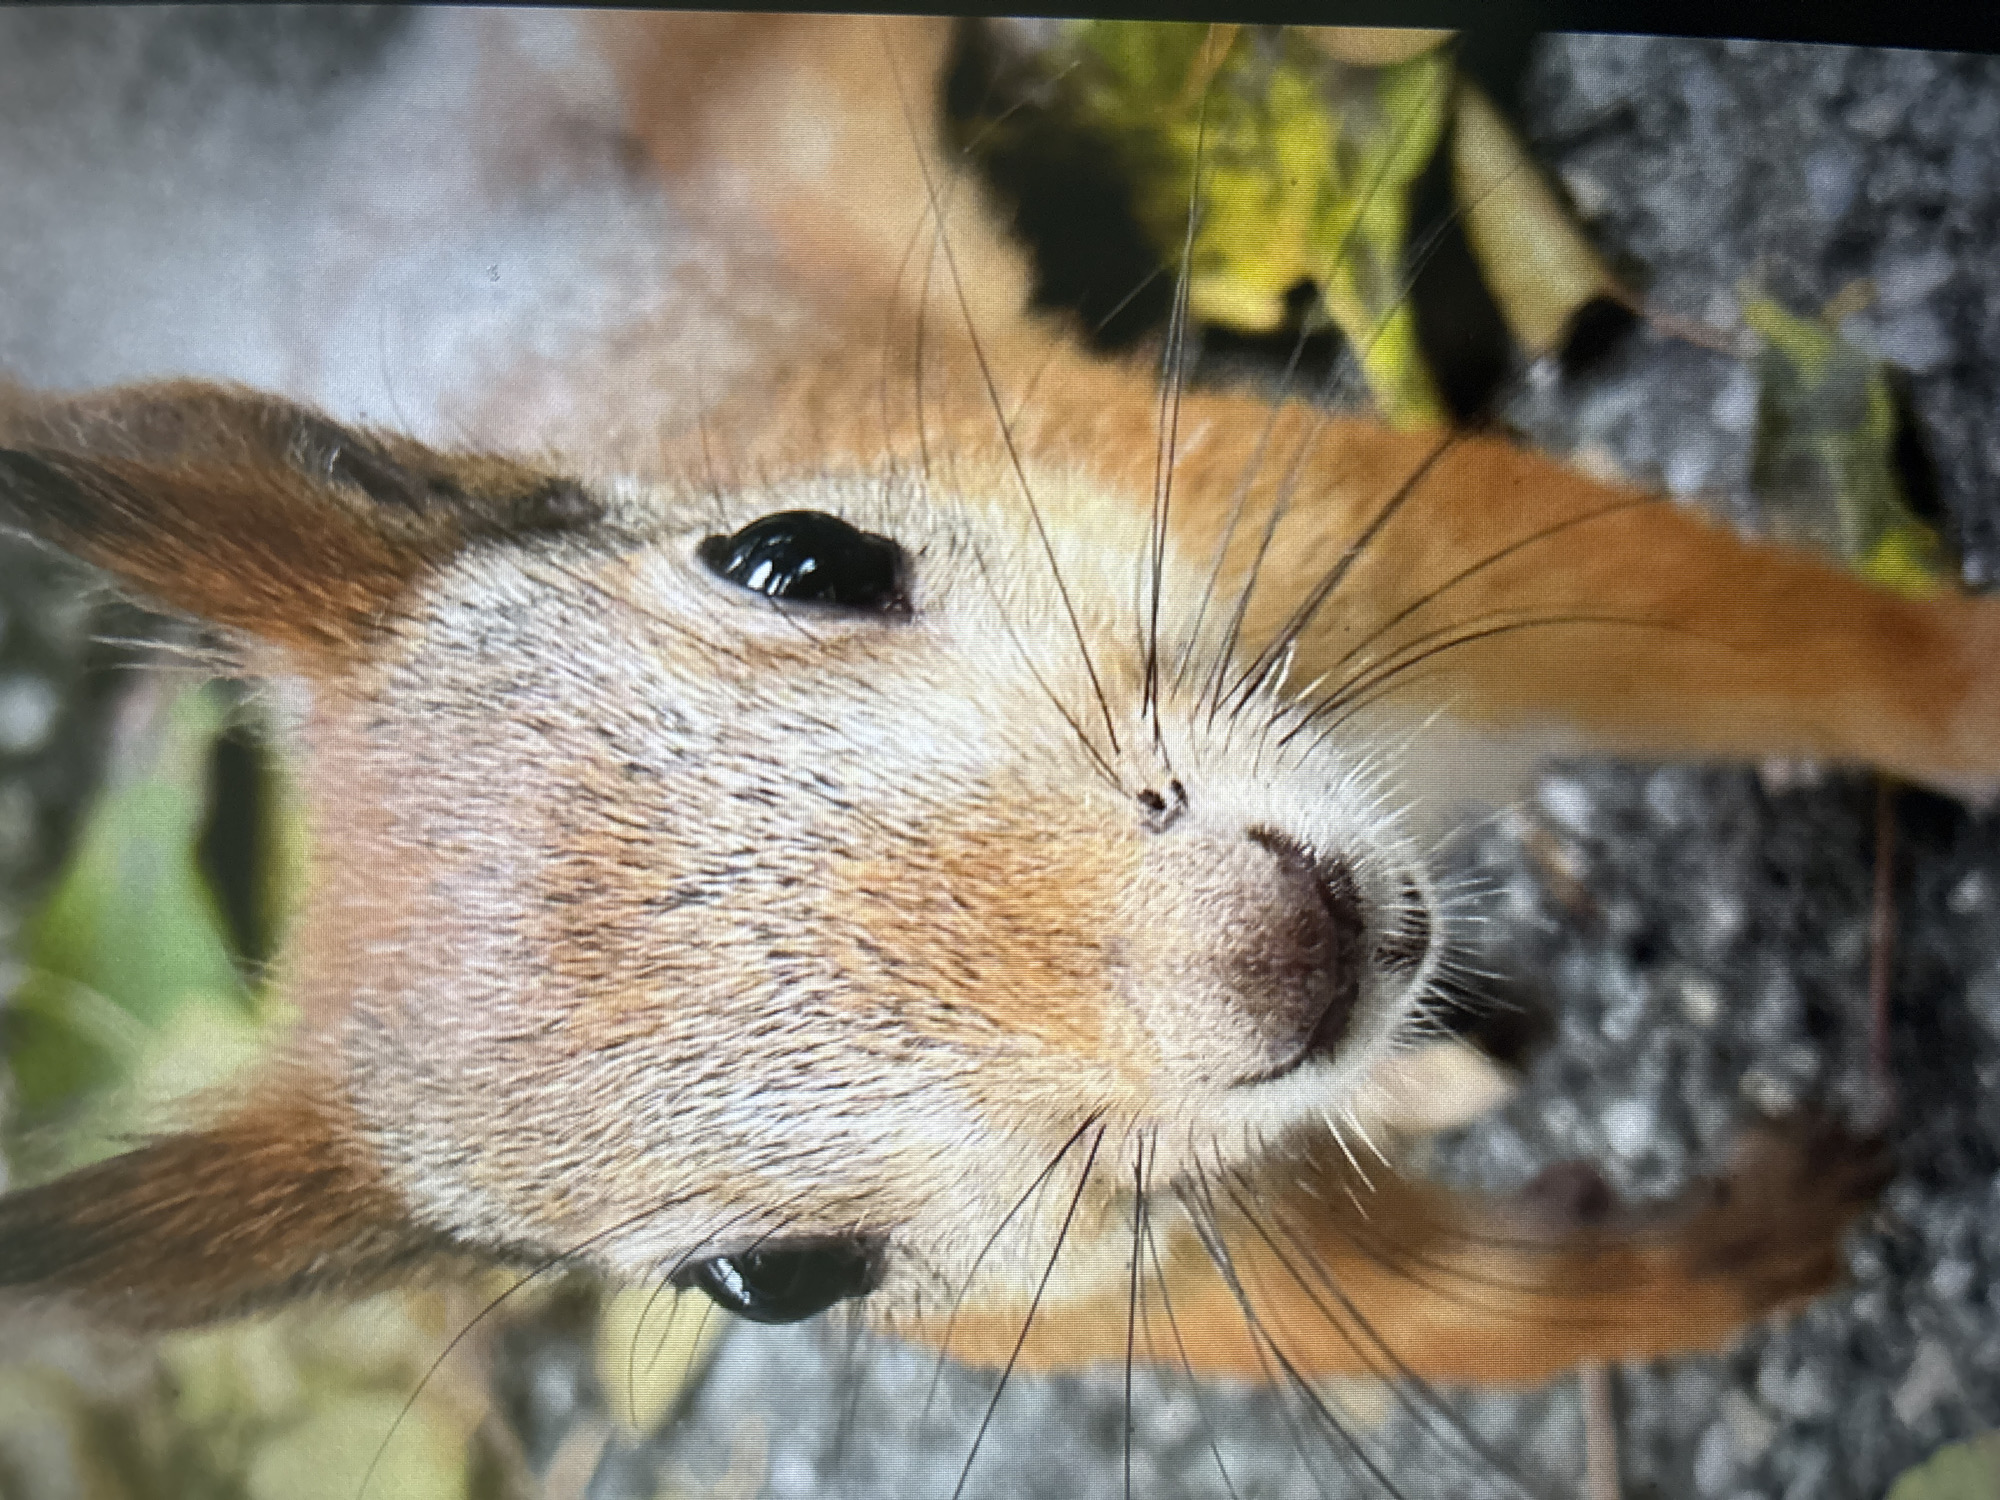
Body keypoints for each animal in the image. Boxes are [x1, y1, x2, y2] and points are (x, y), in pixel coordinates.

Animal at [0, 5, 1989, 1436]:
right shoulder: (1097, 1274)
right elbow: (1434, 1318)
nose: (1289, 951)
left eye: (802, 555)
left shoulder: (1333, 536)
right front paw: (1727, 1246)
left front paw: (1959, 696)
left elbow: (1784, 641)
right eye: (769, 1287)